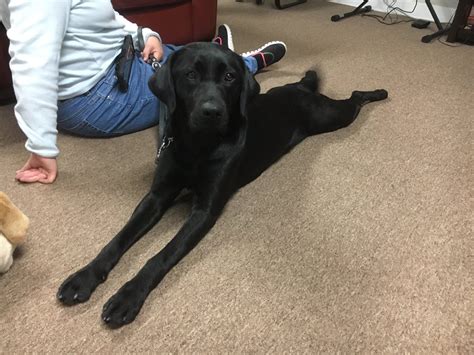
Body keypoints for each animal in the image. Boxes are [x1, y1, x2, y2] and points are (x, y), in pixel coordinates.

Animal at [57, 43, 386, 330]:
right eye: (190, 74)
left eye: (230, 77)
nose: (212, 111)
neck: (197, 146)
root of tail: (300, 88)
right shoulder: (156, 196)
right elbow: (118, 239)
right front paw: (84, 277)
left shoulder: (204, 211)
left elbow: (160, 255)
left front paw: (128, 297)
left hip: (329, 117)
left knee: (355, 98)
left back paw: (379, 92)